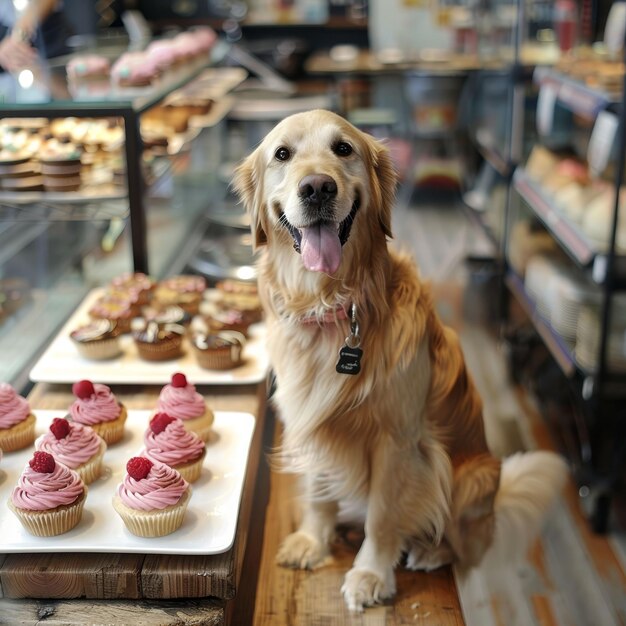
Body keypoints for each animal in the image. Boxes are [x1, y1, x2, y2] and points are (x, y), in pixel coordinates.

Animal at [233, 108, 564, 608]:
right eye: (282, 154)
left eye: (343, 149)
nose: (317, 187)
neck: (331, 308)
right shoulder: (311, 423)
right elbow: (318, 492)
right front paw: (313, 540)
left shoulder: (398, 442)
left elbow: (384, 515)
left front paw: (370, 574)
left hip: (473, 477)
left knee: (460, 544)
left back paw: (431, 550)